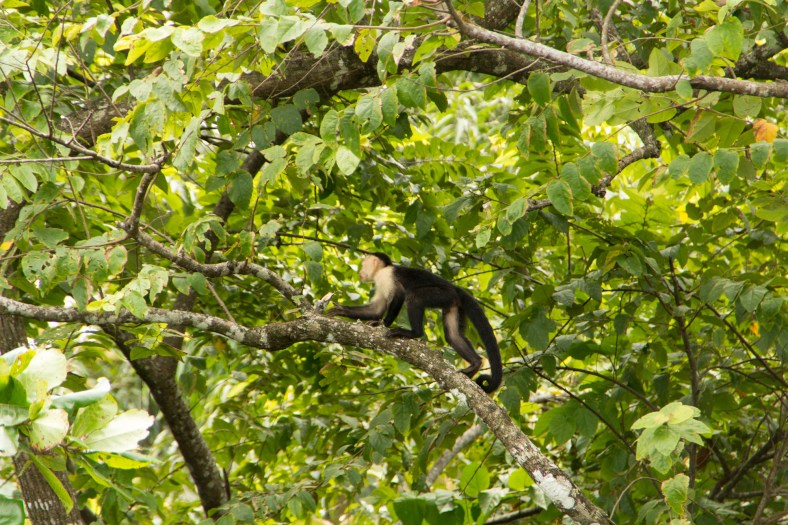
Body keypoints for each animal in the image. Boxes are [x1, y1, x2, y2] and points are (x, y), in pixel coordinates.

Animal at [327, 253, 503, 393]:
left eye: (363, 264)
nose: (360, 272)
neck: (383, 270)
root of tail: (454, 287)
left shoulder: (386, 276)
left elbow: (399, 294)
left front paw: (383, 324)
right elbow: (376, 309)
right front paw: (342, 310)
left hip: (443, 294)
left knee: (414, 296)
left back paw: (413, 333)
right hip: (453, 303)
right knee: (452, 336)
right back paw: (475, 364)